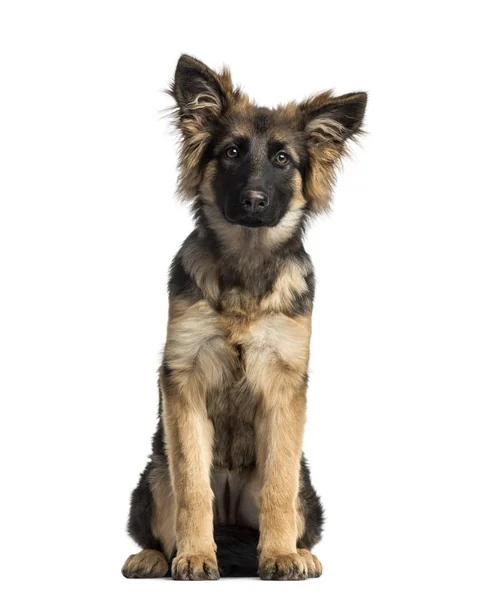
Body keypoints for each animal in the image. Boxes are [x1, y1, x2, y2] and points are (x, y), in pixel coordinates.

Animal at [120, 54, 364, 580]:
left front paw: (279, 555)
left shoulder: (285, 383)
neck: (246, 269)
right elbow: (193, 488)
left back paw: (300, 551)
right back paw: (155, 557)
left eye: (282, 159)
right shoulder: (183, 379)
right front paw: (195, 555)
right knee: (162, 520)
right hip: (153, 476)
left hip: (306, 487)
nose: (253, 200)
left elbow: (277, 485)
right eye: (231, 152)